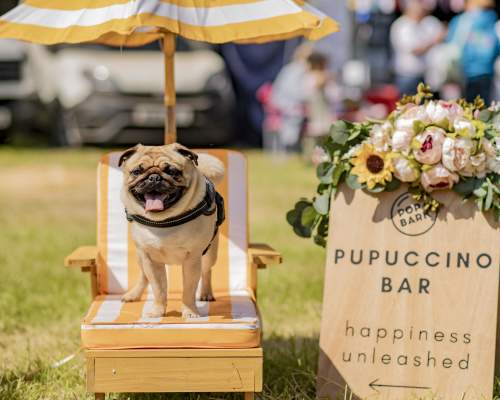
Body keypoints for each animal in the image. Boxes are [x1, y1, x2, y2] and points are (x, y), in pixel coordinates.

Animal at [118, 144, 224, 318]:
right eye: (137, 171)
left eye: (172, 171)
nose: (154, 178)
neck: (164, 221)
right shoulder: (150, 260)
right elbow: (158, 289)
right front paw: (158, 311)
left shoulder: (192, 259)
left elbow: (188, 290)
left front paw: (189, 312)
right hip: (141, 257)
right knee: (143, 277)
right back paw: (134, 294)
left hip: (209, 254)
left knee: (206, 271)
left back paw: (206, 293)